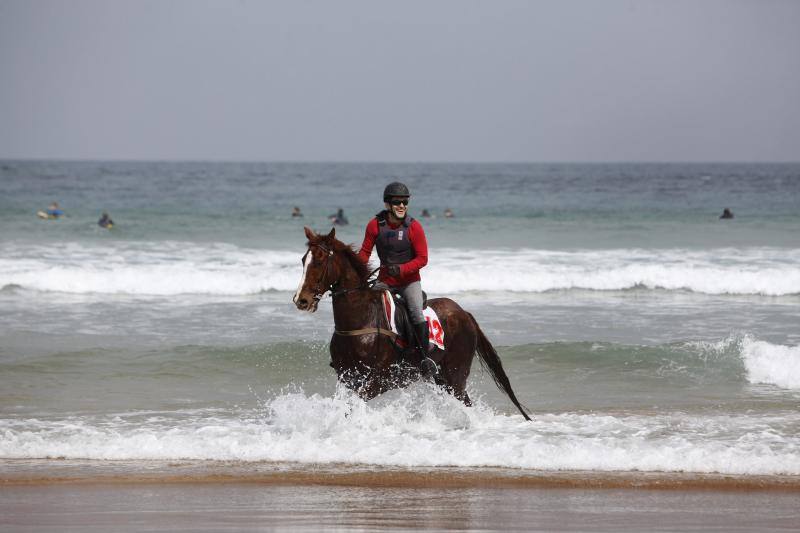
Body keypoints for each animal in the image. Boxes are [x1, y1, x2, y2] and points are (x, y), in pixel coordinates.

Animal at [294, 224, 532, 420]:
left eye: (320, 260)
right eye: (303, 260)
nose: (301, 300)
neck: (360, 323)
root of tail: (464, 313)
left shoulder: (376, 382)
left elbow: (351, 407)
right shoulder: (347, 380)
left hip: (456, 374)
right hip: (441, 378)